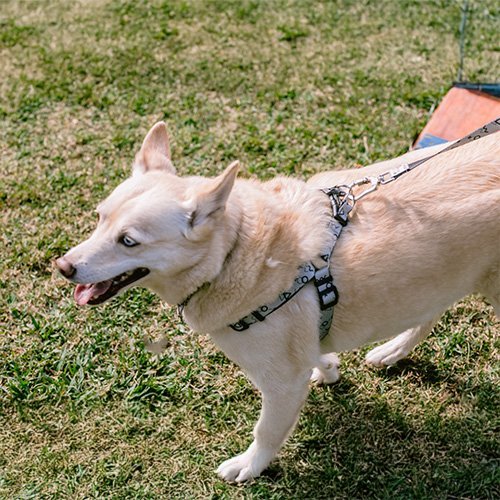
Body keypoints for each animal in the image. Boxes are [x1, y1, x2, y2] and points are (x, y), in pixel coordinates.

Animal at [57, 122, 500, 482]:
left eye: (129, 241)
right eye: (99, 218)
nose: (62, 267)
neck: (233, 252)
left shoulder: (281, 382)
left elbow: (266, 430)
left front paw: (250, 467)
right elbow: (317, 357)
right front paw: (327, 366)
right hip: (441, 274)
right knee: (432, 309)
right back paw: (393, 350)